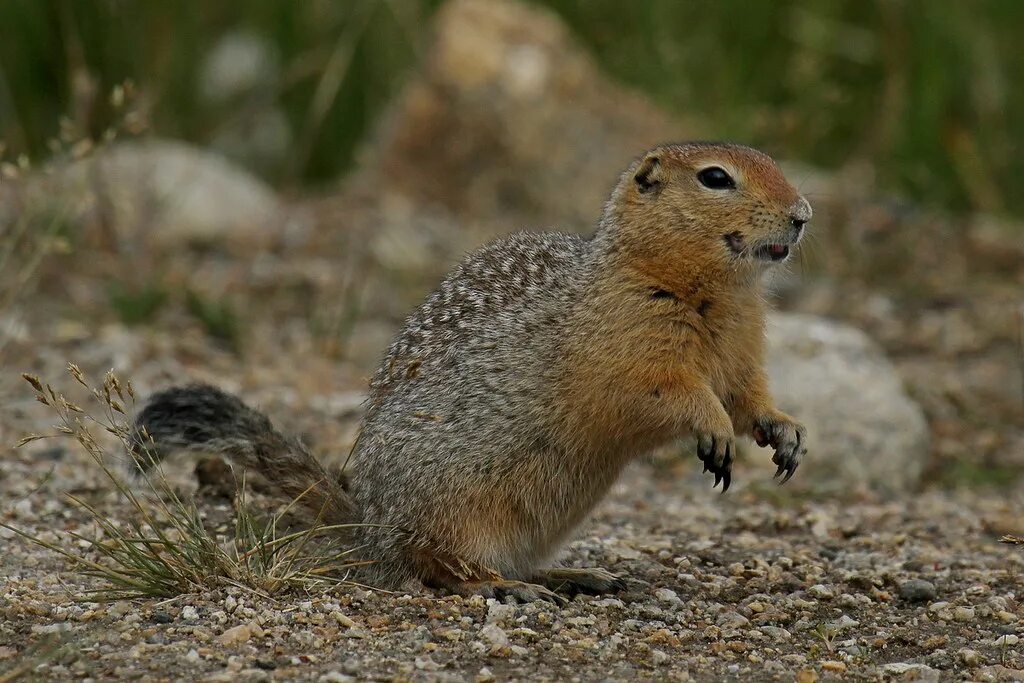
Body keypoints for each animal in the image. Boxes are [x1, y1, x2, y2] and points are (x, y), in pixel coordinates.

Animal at [134, 141, 806, 602]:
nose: (802, 213)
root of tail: (371, 526)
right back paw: (502, 585)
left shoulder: (743, 352)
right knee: (439, 568)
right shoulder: (632, 344)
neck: (714, 291)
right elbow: (666, 390)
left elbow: (748, 395)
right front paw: (712, 429)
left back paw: (578, 574)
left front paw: (784, 430)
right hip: (454, 506)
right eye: (716, 177)